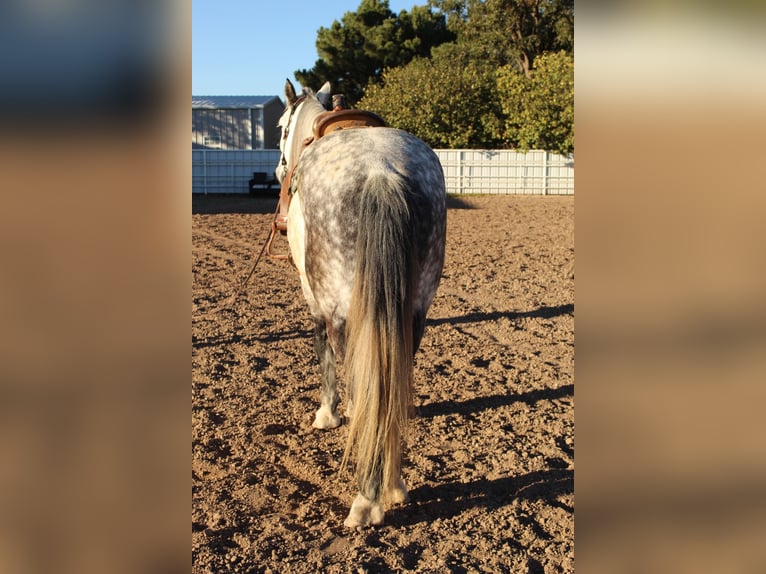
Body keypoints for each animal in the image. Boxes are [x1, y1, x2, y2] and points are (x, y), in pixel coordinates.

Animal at [274, 79, 446, 527]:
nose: (279, 169)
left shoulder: (316, 303)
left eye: (280, 126)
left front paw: (328, 414)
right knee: (389, 389)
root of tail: (381, 171)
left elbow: (325, 359)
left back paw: (367, 500)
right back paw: (393, 484)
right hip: (413, 316)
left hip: (343, 313)